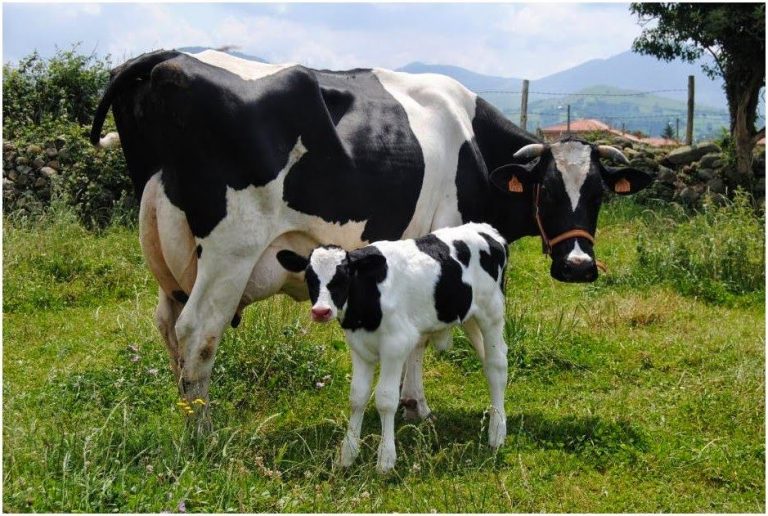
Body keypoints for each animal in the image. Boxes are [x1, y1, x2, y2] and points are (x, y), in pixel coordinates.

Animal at [90, 49, 652, 427]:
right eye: (548, 191)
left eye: (599, 193)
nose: (578, 266)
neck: (474, 146)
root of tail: (172, 59)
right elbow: (427, 336)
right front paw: (417, 406)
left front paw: (409, 402)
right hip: (231, 249)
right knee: (197, 332)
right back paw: (201, 431)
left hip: (169, 257)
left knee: (168, 326)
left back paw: (183, 412)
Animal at [276, 223, 509, 473]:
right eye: (309, 277)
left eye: (344, 276)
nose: (321, 311)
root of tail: (485, 229)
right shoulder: (359, 348)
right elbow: (357, 397)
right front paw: (347, 454)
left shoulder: (395, 346)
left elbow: (386, 399)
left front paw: (385, 459)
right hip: (469, 317)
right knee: (488, 358)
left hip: (492, 312)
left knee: (497, 365)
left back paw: (497, 433)